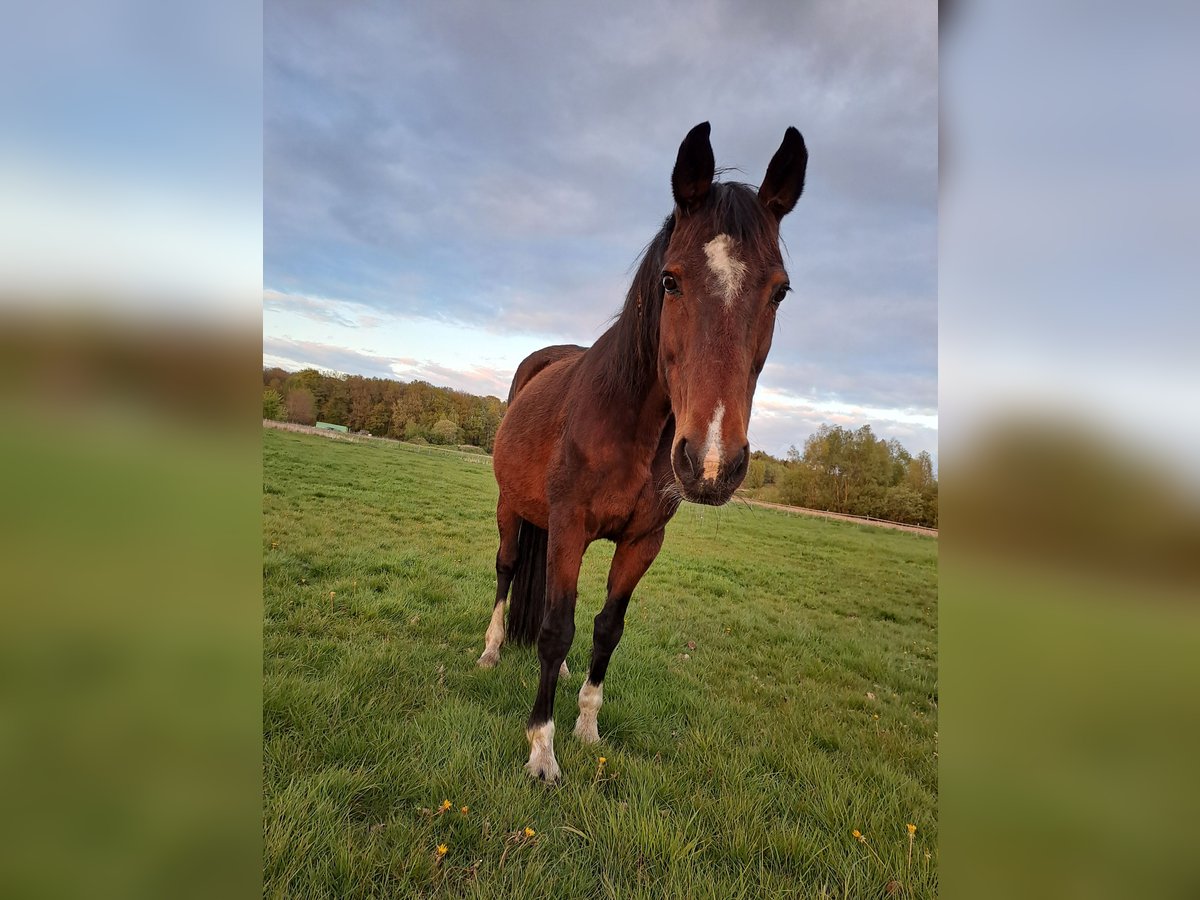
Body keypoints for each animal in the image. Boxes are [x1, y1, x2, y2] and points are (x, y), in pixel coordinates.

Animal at [475, 120, 806, 782]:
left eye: (780, 291)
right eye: (670, 280)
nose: (711, 462)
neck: (629, 421)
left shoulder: (642, 542)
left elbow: (605, 628)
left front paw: (586, 727)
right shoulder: (569, 525)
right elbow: (555, 626)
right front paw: (542, 750)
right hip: (511, 509)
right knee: (507, 571)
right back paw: (493, 651)